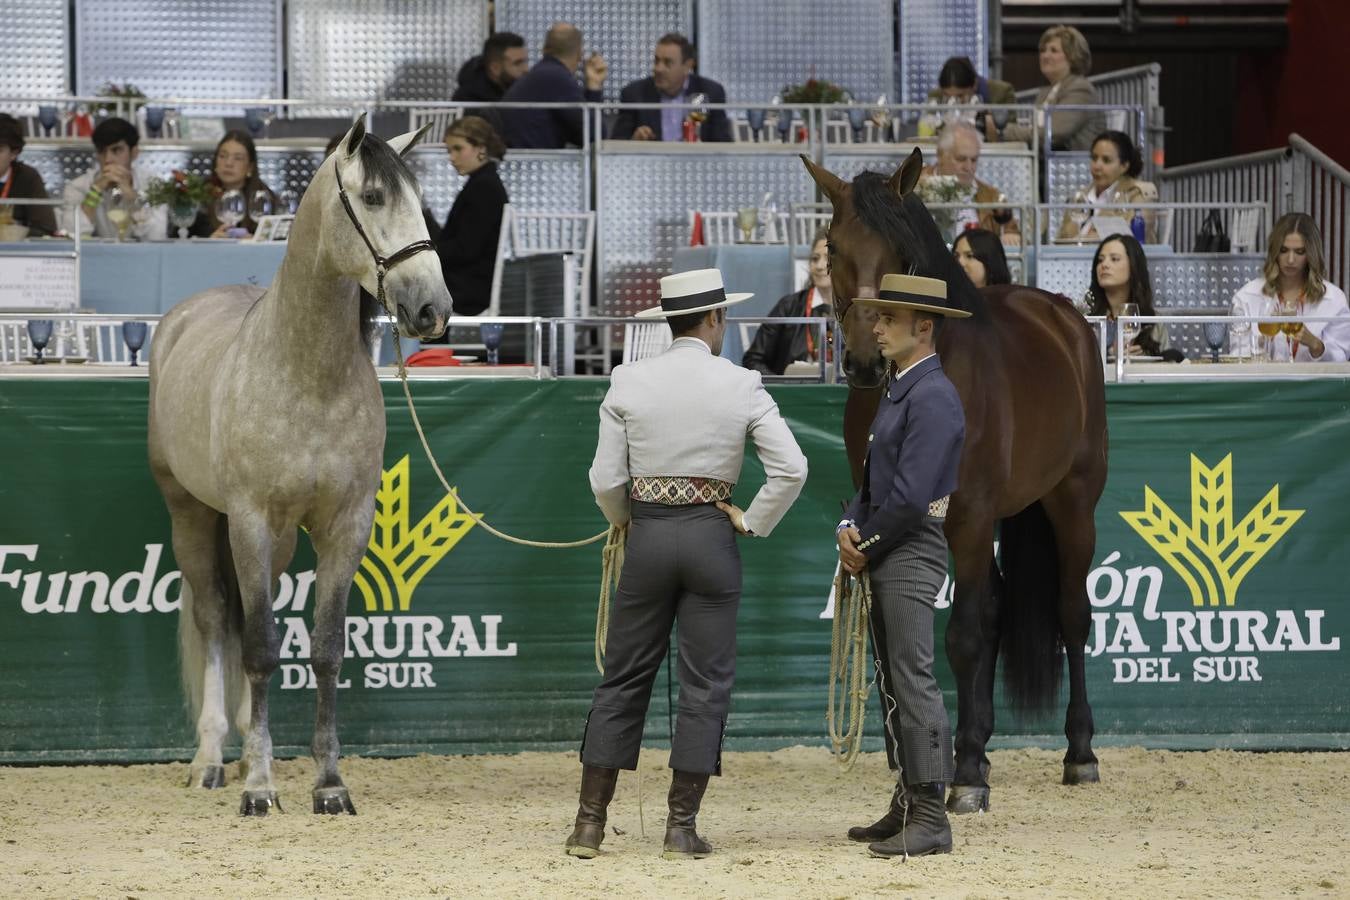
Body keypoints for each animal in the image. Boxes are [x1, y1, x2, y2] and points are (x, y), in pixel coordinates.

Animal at [147, 114, 452, 816]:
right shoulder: (250, 520)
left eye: (421, 203)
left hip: (281, 540)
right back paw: (212, 759)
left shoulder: (345, 527)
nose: (433, 309)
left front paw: (328, 783)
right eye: (373, 197)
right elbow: (260, 649)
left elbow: (325, 650)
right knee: (215, 618)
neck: (307, 374)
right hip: (193, 515)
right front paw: (260, 788)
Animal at [801, 150, 1108, 813]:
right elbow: (894, 638)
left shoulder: (967, 517)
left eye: (900, 250)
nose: (864, 359)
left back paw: (1079, 752)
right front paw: (925, 766)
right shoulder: (883, 515)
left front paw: (964, 776)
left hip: (1071, 502)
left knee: (1071, 613)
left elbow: (964, 635)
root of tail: (1062, 316)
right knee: (995, 607)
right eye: (833, 246)